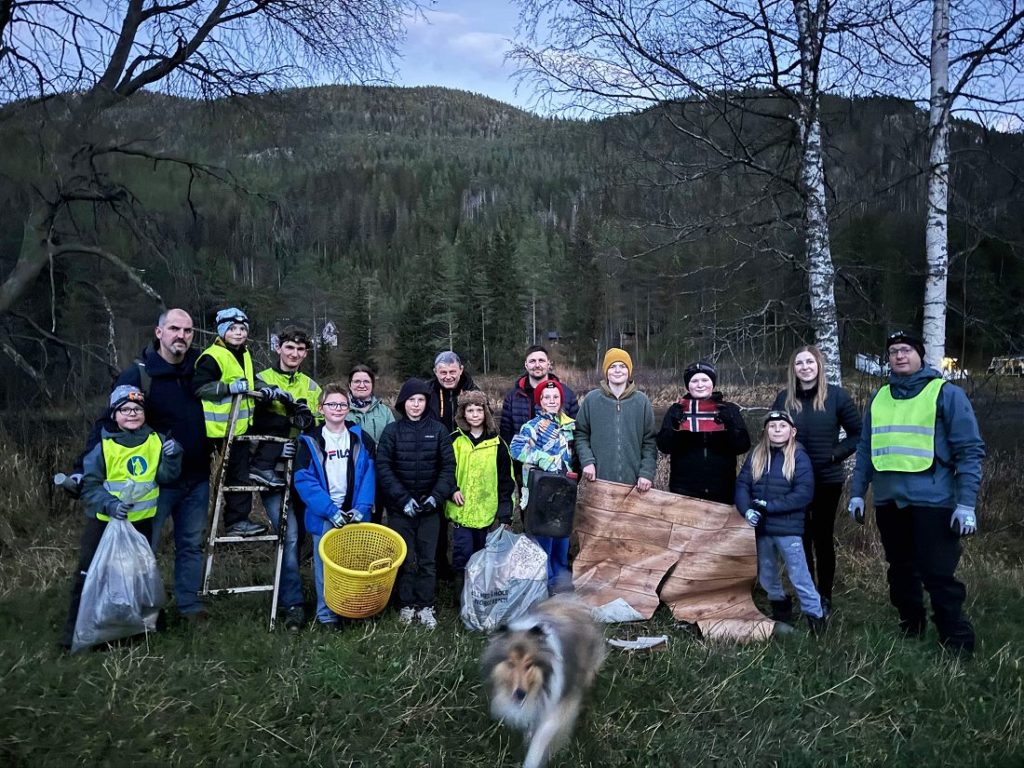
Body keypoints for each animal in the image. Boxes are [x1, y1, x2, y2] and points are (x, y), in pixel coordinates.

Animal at [481, 593, 606, 768]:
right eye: (511, 663)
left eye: (529, 665)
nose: (520, 694)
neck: (537, 687)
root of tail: (573, 601)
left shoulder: (555, 709)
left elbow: (539, 742)